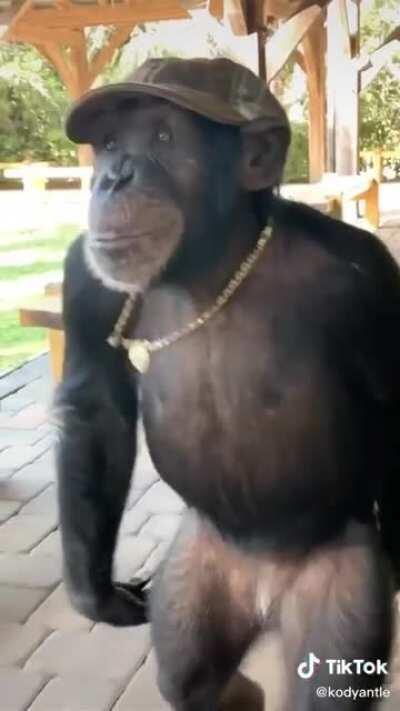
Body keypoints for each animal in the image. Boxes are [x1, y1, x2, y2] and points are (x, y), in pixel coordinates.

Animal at [56, 57, 400, 709]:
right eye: (109, 143)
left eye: (163, 137)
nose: (112, 177)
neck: (214, 266)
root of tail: (264, 600)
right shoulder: (83, 277)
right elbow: (96, 403)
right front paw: (95, 595)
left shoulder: (368, 277)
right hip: (203, 569)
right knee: (192, 672)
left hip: (331, 589)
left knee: (325, 680)